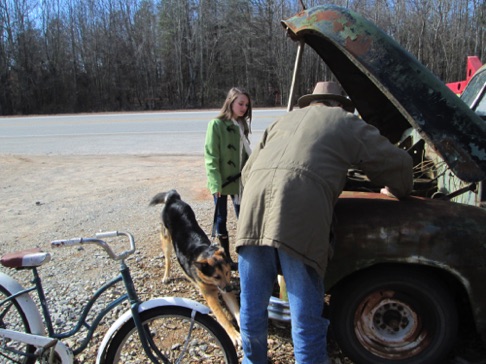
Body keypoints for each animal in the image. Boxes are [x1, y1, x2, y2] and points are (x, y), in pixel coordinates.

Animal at [148, 189, 239, 346]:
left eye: (227, 273)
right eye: (216, 276)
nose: (230, 288)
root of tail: (173, 198)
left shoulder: (225, 290)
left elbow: (238, 312)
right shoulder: (210, 296)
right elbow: (222, 317)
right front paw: (233, 334)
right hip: (167, 241)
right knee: (168, 260)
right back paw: (166, 276)